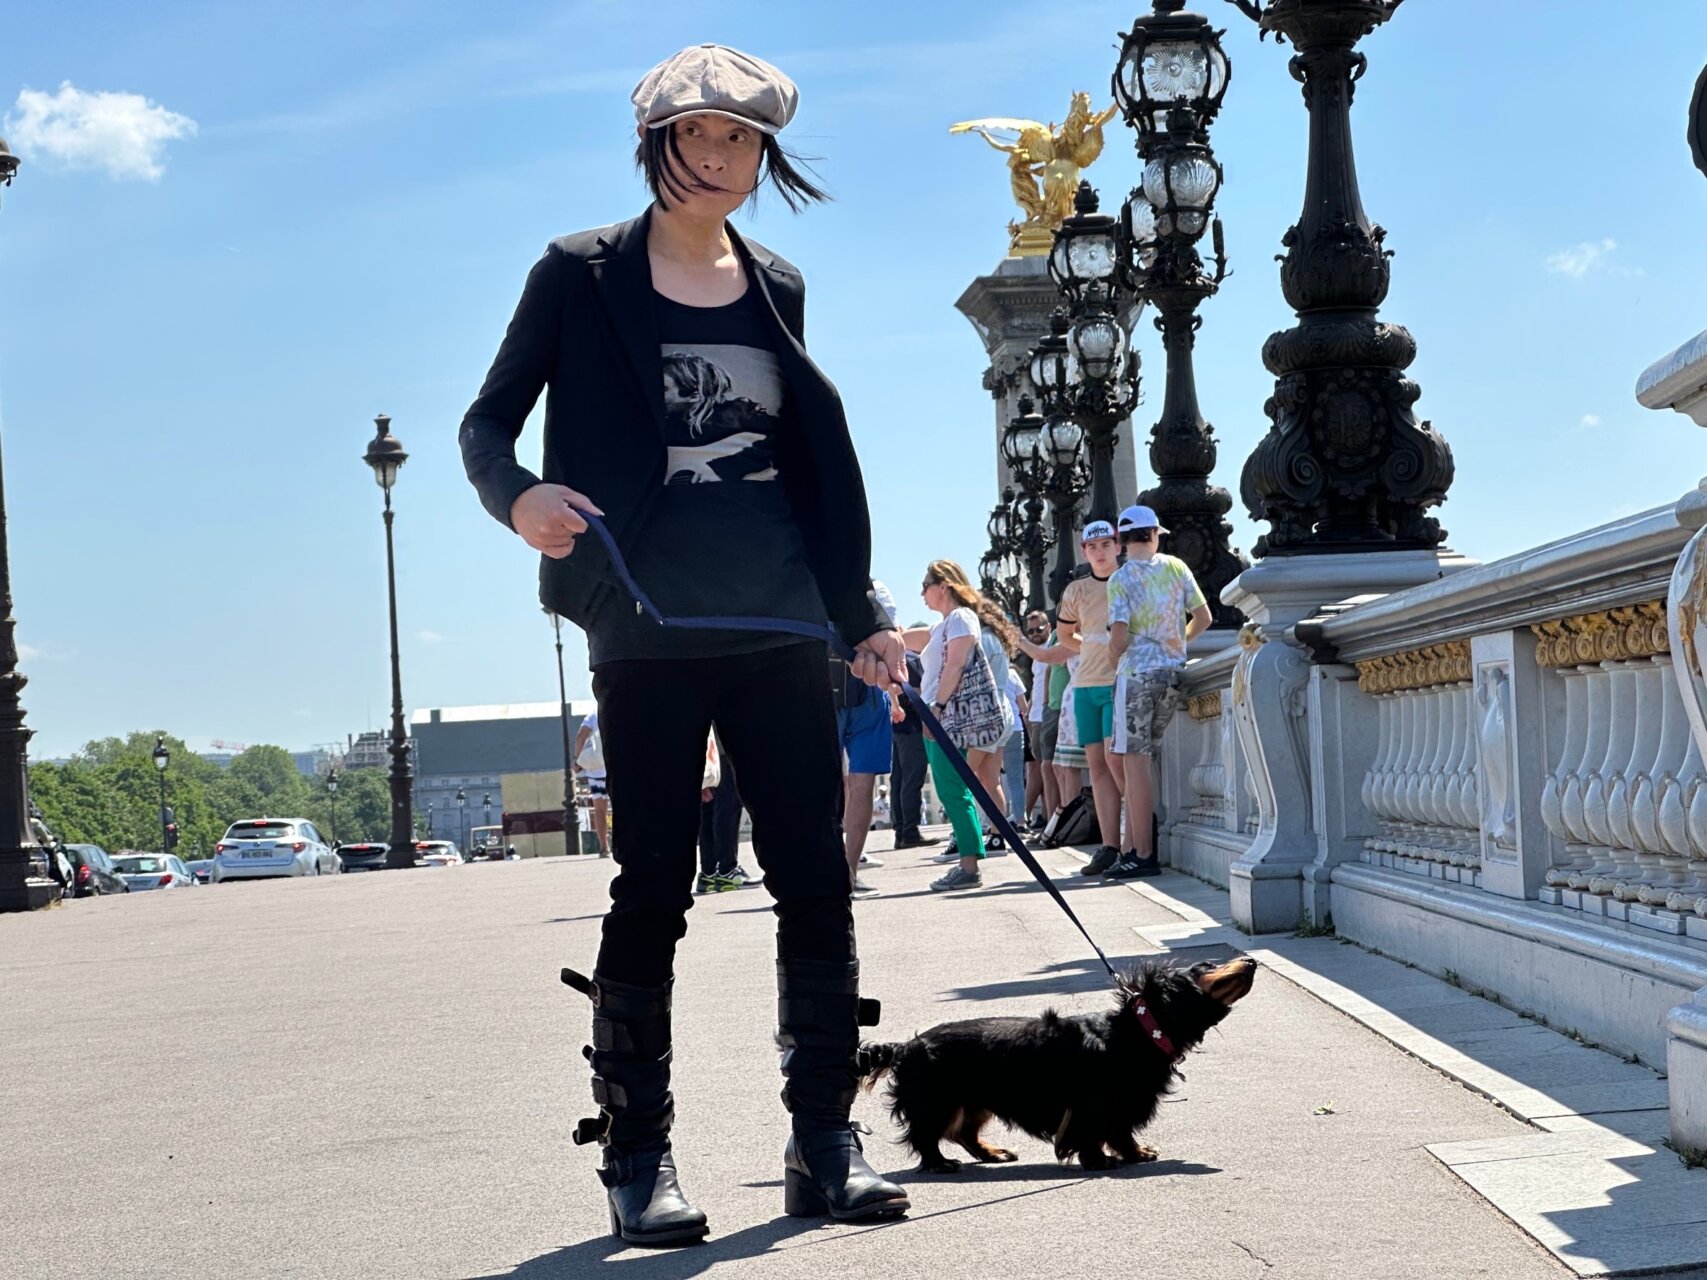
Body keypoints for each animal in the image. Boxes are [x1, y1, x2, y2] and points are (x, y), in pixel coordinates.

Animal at [860, 962, 1263, 1174]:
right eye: (1204, 968)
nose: (1251, 962)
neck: (1136, 1032)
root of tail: (905, 1046)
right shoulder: (1094, 1103)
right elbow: (1096, 1134)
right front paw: (1100, 1161)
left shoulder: (1121, 1105)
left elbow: (1120, 1132)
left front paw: (1135, 1154)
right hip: (939, 1101)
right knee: (927, 1137)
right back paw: (941, 1164)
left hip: (972, 1102)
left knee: (964, 1133)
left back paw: (993, 1153)